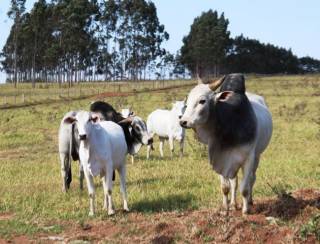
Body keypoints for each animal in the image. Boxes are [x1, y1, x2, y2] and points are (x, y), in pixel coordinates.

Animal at [180, 73, 272, 214]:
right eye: (187, 100)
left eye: (202, 101)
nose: (183, 121)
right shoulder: (220, 158)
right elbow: (225, 187)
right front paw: (225, 209)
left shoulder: (248, 158)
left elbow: (245, 187)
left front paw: (245, 211)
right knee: (235, 182)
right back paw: (233, 203)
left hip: (257, 156)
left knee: (252, 179)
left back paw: (250, 201)